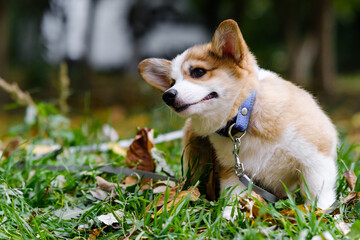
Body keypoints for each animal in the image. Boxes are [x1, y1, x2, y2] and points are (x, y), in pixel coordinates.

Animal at [138, 19, 338, 212]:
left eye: (198, 72)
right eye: (172, 82)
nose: (167, 95)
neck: (243, 119)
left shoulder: (316, 160)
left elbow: (318, 196)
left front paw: (324, 216)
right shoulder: (232, 173)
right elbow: (233, 199)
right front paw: (228, 216)